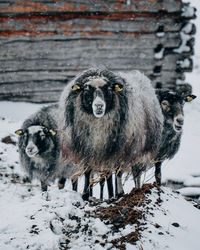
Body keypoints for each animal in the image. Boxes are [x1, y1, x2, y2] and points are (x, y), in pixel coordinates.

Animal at [58, 67, 164, 200]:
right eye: (87, 89)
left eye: (108, 89)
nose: (99, 106)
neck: (98, 124)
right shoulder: (88, 147)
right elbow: (88, 171)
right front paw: (86, 195)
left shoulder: (117, 148)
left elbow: (115, 172)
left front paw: (116, 194)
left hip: (137, 149)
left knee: (133, 173)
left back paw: (134, 190)